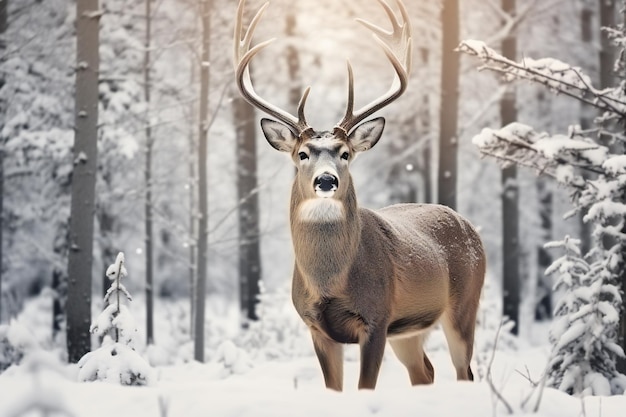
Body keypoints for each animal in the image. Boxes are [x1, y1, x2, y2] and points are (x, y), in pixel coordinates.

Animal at [233, 0, 482, 390]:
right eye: (302, 154)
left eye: (345, 153)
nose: (326, 180)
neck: (329, 283)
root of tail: (471, 227)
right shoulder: (316, 328)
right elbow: (333, 388)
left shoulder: (377, 319)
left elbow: (365, 386)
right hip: (409, 332)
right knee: (425, 372)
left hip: (464, 305)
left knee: (465, 372)